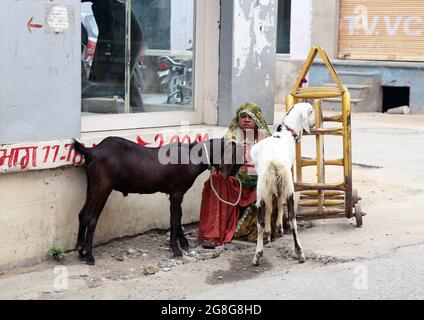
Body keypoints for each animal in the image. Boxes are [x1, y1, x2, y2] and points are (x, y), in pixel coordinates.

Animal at [73, 138, 242, 264]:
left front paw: (183, 242)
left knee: (83, 214)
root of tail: (92, 151)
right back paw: (89, 256)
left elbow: (178, 217)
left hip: (92, 186)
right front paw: (176, 249)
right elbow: (174, 219)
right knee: (92, 218)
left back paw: (80, 252)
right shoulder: (177, 192)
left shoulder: (175, 194)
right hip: (102, 188)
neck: (192, 156)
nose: (236, 175)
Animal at [252, 102, 314, 264]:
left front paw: (270, 232)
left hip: (262, 187)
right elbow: (279, 202)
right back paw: (299, 252)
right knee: (292, 218)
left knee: (260, 219)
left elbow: (271, 206)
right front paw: (278, 228)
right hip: (286, 184)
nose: (313, 124)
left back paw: (258, 254)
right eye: (311, 111)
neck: (285, 133)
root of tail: (274, 160)